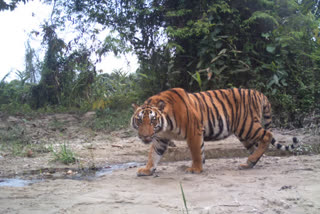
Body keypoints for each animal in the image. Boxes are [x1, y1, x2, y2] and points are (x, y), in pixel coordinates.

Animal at [129, 88, 298, 176]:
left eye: (152, 120)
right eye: (139, 120)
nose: (145, 136)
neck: (165, 126)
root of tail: (258, 93)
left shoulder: (194, 131)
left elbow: (196, 152)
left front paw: (196, 169)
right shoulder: (160, 138)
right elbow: (153, 154)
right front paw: (147, 169)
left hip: (247, 126)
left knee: (268, 135)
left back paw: (250, 161)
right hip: (244, 134)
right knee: (256, 146)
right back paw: (249, 163)